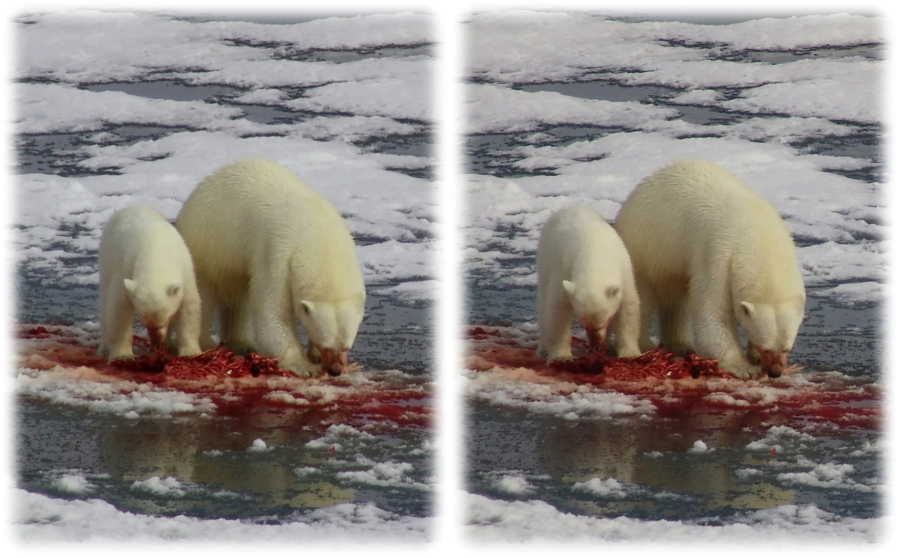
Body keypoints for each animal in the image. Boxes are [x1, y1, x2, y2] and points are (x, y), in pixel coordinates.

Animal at [99, 206, 202, 358]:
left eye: (165, 321)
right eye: (145, 323)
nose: (156, 343)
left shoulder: (185, 269)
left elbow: (189, 306)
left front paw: (191, 352)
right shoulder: (126, 268)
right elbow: (119, 308)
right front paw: (123, 355)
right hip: (106, 260)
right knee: (105, 300)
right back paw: (104, 347)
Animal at [177, 160, 366, 378]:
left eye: (346, 346)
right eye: (326, 345)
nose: (335, 371)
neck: (319, 238)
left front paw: (314, 357)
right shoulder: (277, 252)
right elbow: (273, 308)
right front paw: (304, 366)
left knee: (238, 298)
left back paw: (242, 343)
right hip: (207, 245)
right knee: (203, 296)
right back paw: (206, 346)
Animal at [536, 208, 640, 360]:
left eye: (605, 321)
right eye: (584, 325)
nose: (595, 344)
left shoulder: (624, 269)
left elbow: (628, 307)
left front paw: (630, 353)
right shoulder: (564, 270)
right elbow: (558, 310)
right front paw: (562, 356)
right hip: (545, 259)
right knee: (543, 302)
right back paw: (543, 349)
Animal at [612, 161, 800, 380]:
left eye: (786, 348)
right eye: (767, 348)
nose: (776, 372)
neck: (759, 239)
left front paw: (754, 358)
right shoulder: (717, 254)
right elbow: (711, 309)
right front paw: (744, 368)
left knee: (676, 299)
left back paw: (682, 345)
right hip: (647, 246)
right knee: (644, 298)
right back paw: (646, 347)